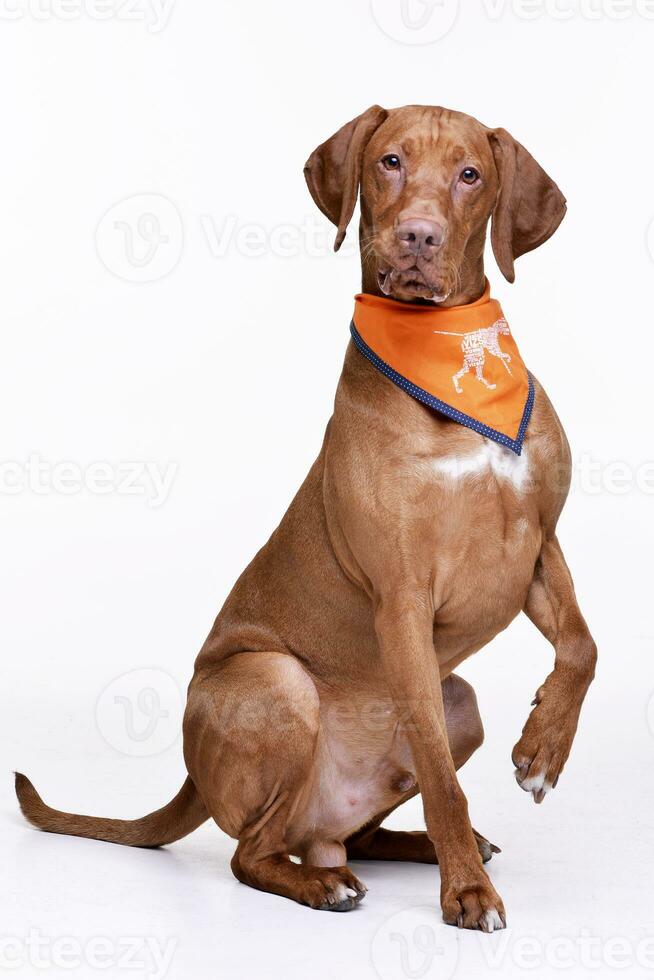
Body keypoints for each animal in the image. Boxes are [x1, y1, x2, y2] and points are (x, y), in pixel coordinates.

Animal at [15, 103, 600, 932]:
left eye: (470, 174)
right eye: (389, 162)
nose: (417, 236)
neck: (444, 361)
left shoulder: (536, 544)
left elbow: (582, 647)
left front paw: (543, 753)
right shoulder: (401, 597)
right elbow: (442, 775)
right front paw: (467, 897)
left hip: (461, 702)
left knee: (351, 833)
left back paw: (409, 848)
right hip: (277, 682)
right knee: (251, 854)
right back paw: (329, 882)